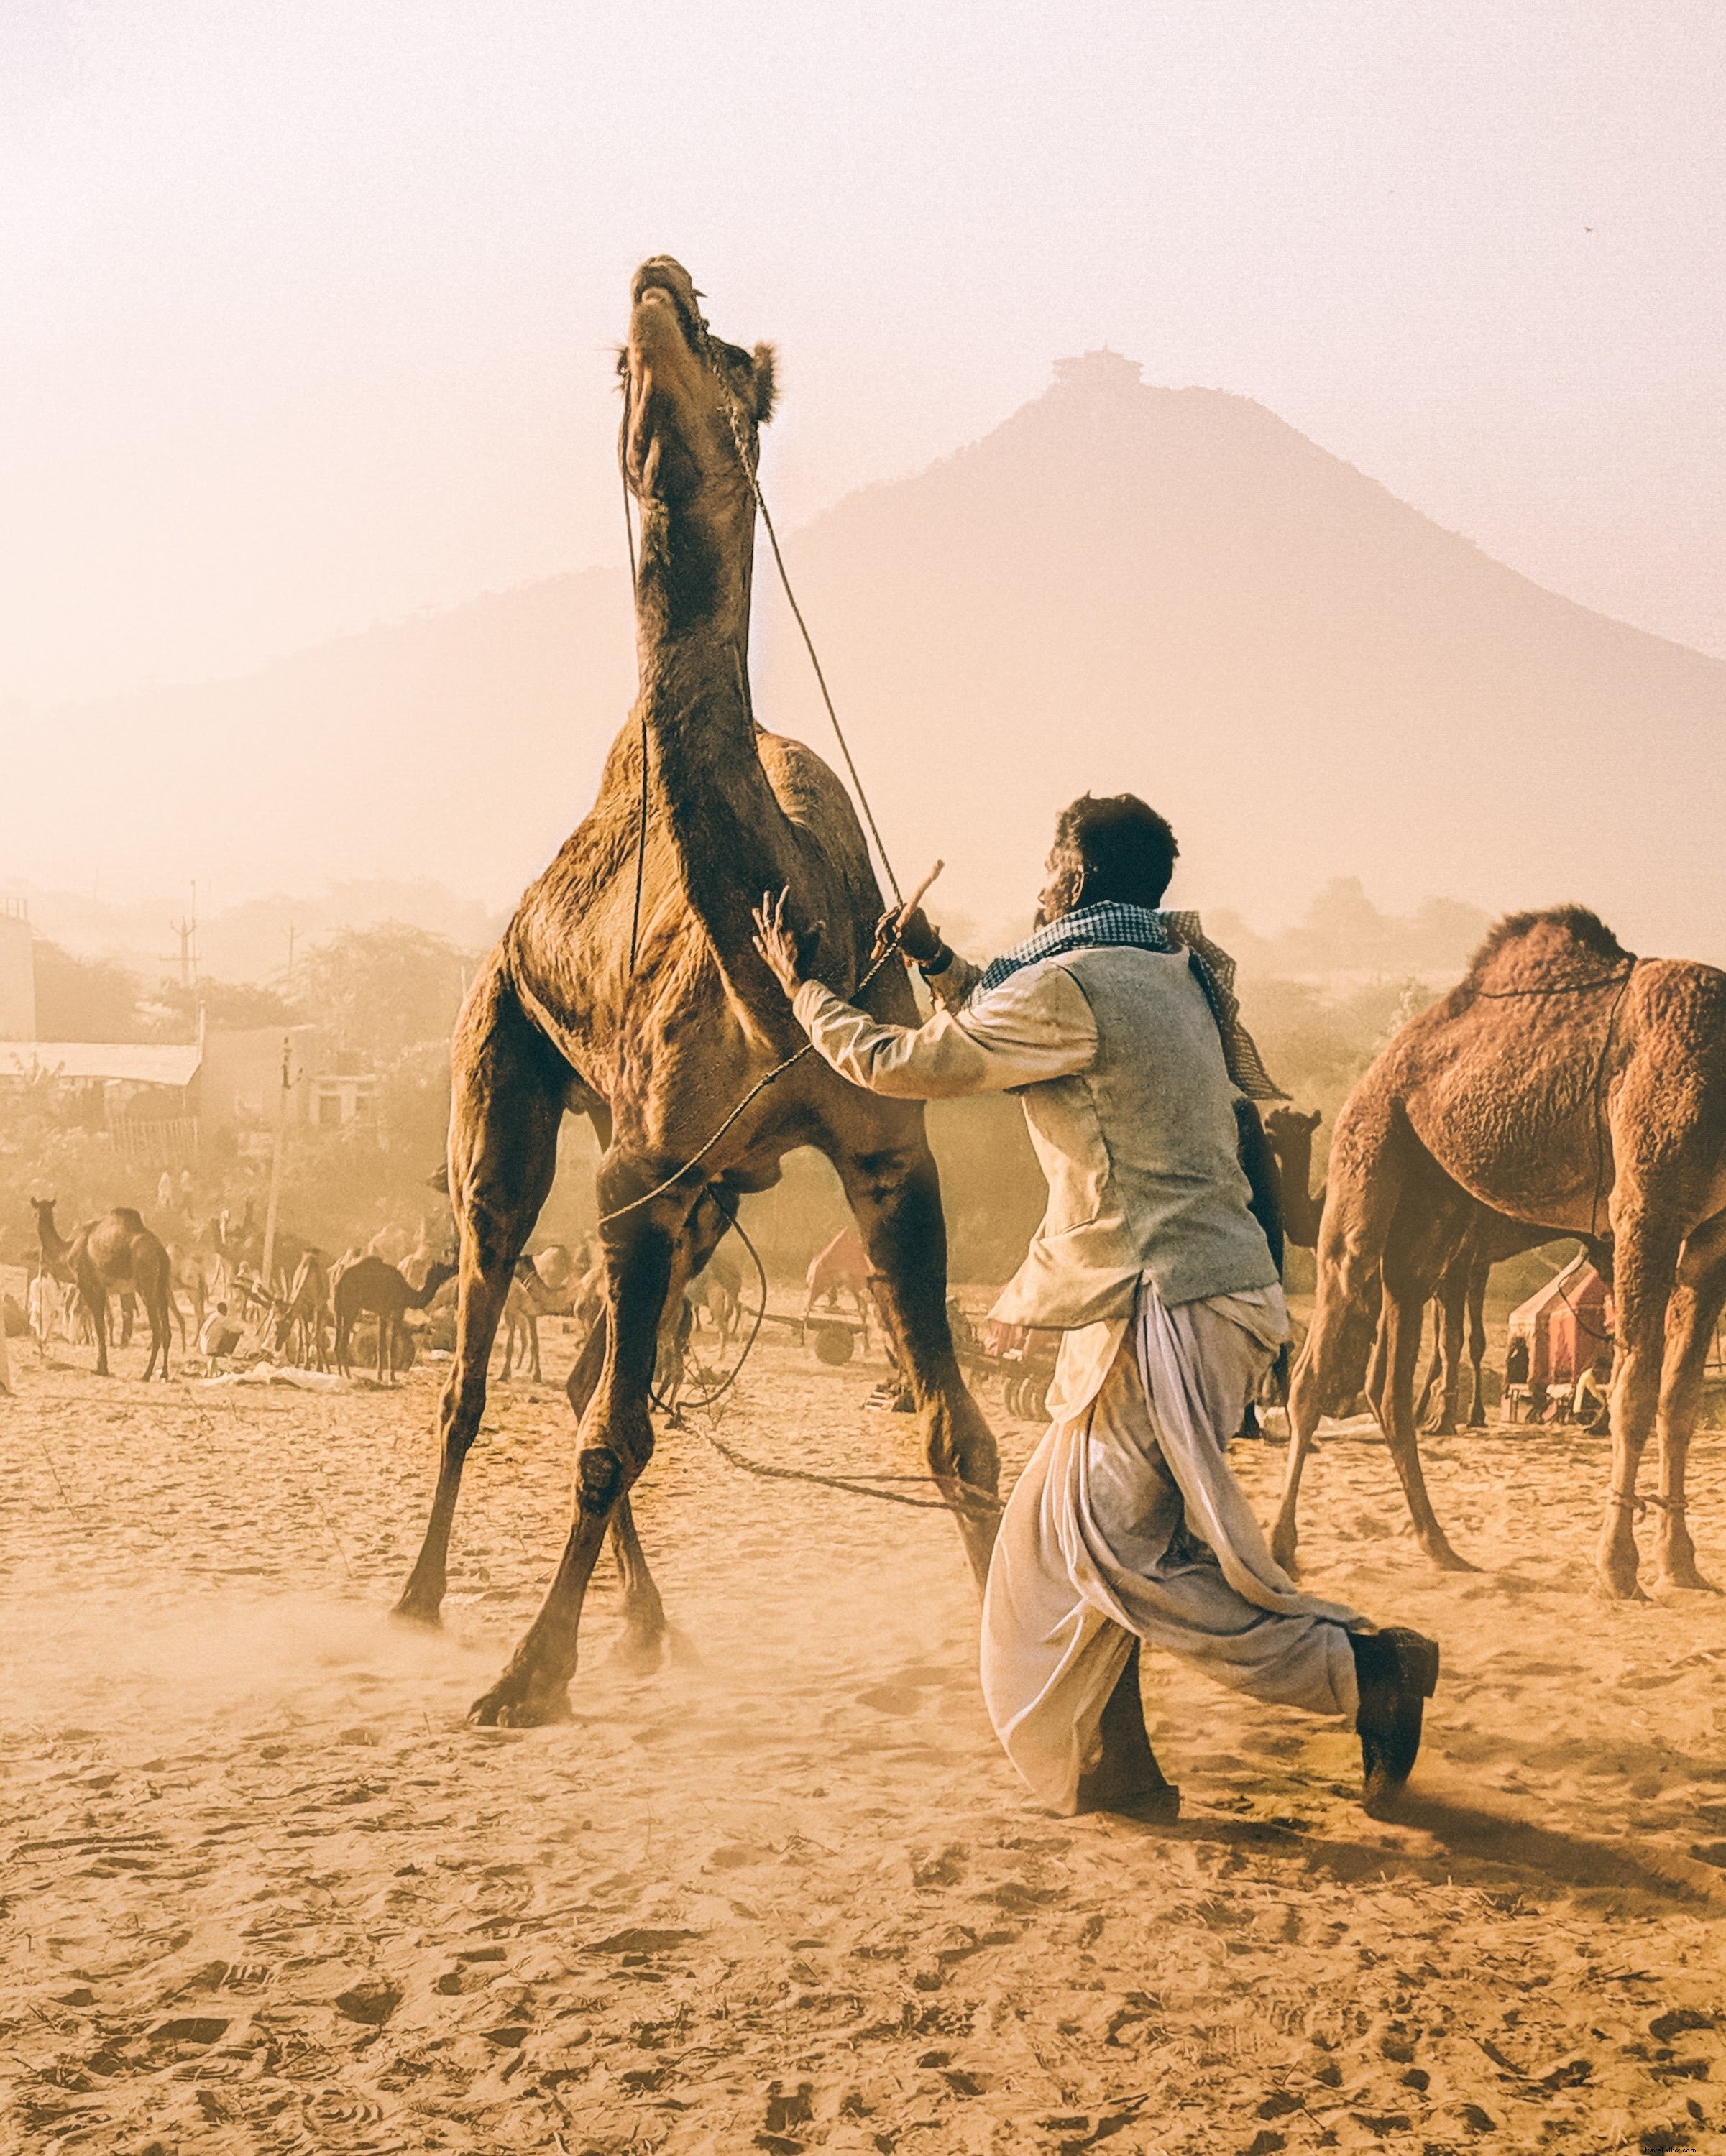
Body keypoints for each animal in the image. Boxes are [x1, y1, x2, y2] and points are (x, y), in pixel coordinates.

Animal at [29, 1199, 175, 1380]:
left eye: (36, 1212)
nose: (38, 1217)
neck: (68, 1250)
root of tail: (161, 1252)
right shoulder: (103, 1289)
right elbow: (104, 1323)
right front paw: (102, 1365)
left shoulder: (89, 1285)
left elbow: (99, 1325)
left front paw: (101, 1368)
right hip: (162, 1286)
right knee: (167, 1330)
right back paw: (164, 1374)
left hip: (146, 1284)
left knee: (157, 1330)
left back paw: (146, 1374)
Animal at [334, 1259, 457, 1388]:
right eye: (444, 1268)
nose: (454, 1268)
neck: (409, 1295)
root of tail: (340, 1283)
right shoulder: (397, 1312)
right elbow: (392, 1346)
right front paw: (392, 1378)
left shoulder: (383, 1314)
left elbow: (382, 1346)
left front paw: (380, 1377)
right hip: (351, 1309)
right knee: (343, 1344)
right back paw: (348, 1376)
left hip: (339, 1309)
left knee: (337, 1344)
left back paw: (340, 1374)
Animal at [384, 257, 992, 1733]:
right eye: (626, 360)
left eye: (725, 354)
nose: (660, 280)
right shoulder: (644, 1168)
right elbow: (613, 1436)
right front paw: (525, 1675)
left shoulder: (882, 1153)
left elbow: (954, 1429)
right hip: (512, 1085)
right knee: (486, 1360)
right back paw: (424, 1603)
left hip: (708, 1194)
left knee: (585, 1376)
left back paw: (654, 1627)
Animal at [1268, 910, 1726, 1604]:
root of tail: (1382, 1061)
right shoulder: (1647, 1206)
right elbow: (1635, 1390)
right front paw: (1617, 1568)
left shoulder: (1710, 1234)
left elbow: (1679, 1400)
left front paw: (1681, 1565)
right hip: (1369, 1143)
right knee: (1324, 1335)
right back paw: (1279, 1548)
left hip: (1431, 1213)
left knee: (1390, 1373)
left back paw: (1439, 1546)